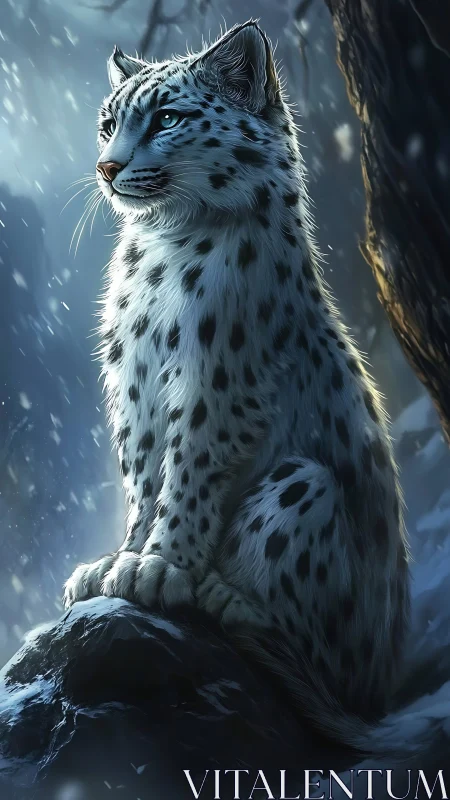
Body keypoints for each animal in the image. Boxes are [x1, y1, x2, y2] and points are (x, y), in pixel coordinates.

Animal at [63, 20, 411, 754]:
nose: (108, 166)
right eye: (108, 123)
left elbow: (190, 471)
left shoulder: (216, 382)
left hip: (303, 485)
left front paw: (159, 568)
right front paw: (118, 561)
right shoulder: (133, 388)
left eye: (166, 118)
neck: (160, 255)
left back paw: (228, 597)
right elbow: (143, 477)